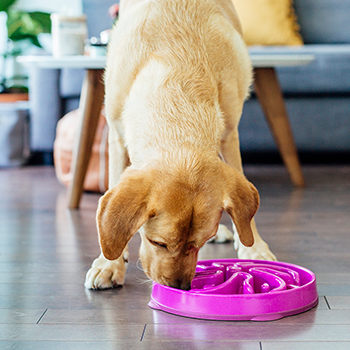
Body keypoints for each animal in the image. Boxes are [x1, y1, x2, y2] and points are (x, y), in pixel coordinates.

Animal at [85, 0, 276, 290]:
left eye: (199, 243)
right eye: (158, 243)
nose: (180, 288)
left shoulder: (229, 134)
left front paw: (252, 249)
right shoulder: (116, 136)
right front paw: (110, 264)